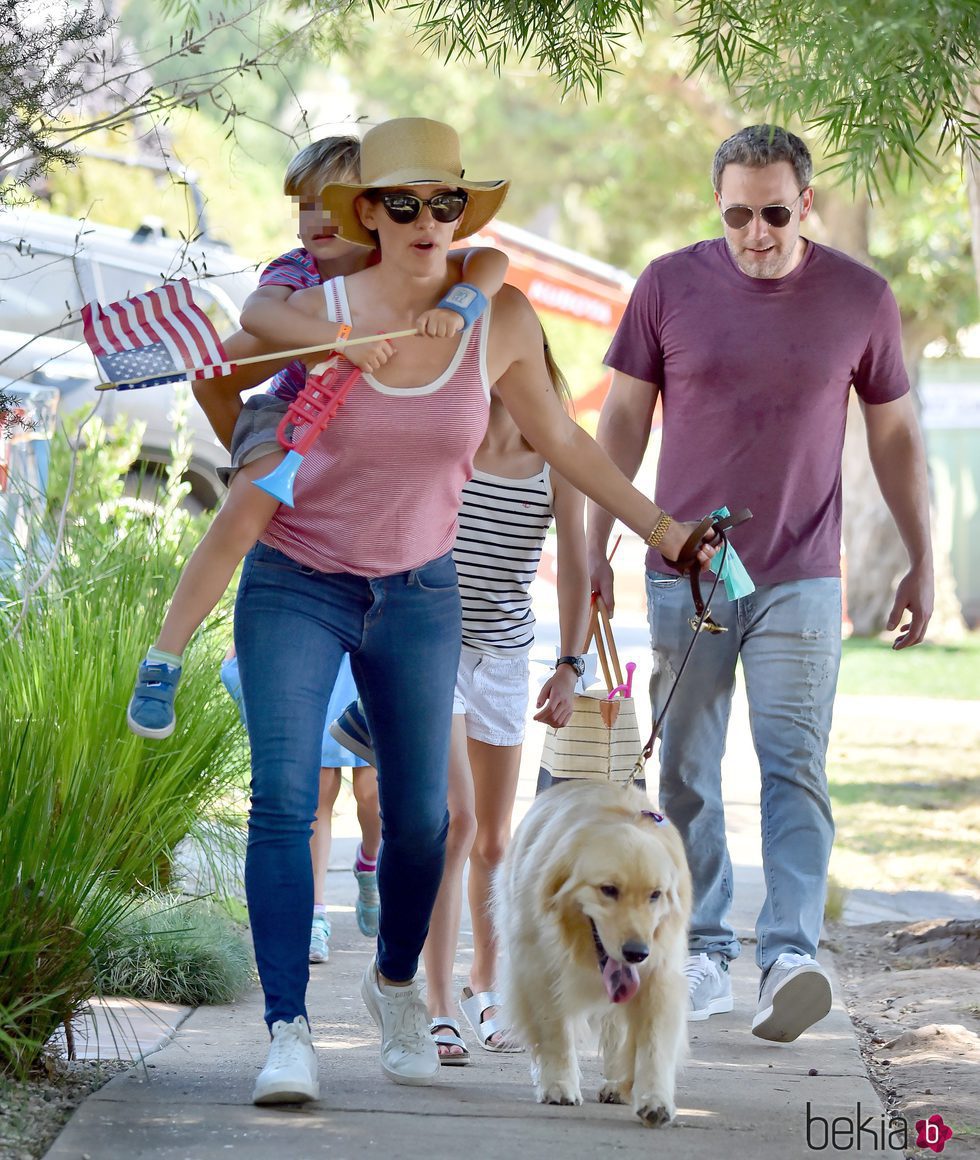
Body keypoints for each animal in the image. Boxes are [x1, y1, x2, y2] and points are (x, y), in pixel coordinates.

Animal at [494, 779, 691, 1122]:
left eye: (655, 895)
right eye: (608, 890)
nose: (637, 952)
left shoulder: (659, 973)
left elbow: (653, 1040)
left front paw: (654, 1098)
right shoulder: (538, 966)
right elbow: (554, 1029)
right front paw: (559, 1084)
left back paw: (618, 1085)